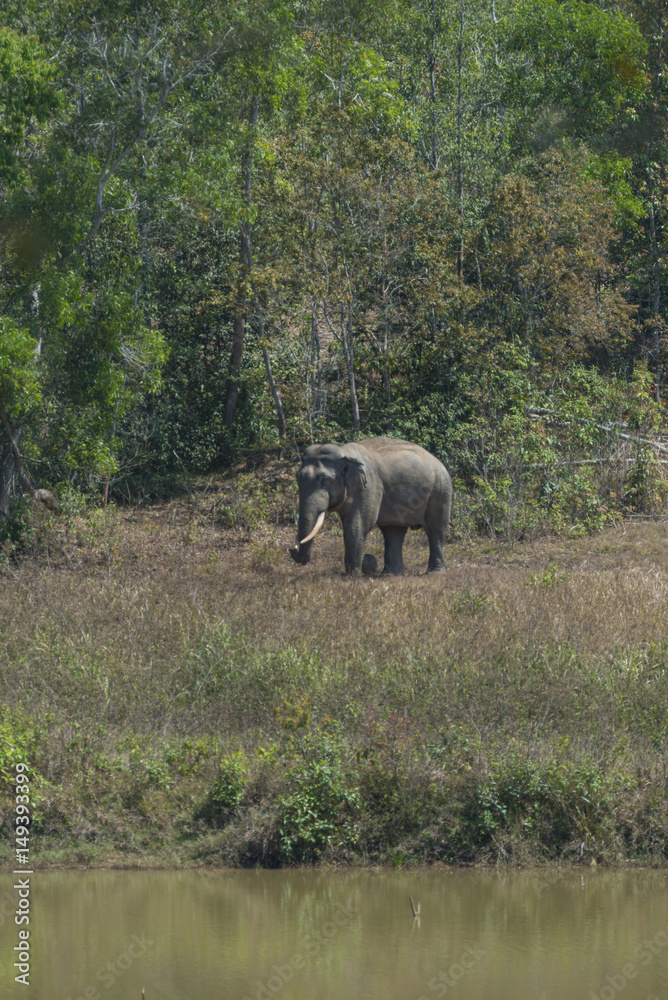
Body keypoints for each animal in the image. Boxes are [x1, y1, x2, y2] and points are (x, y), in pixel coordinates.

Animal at [289, 437, 452, 575]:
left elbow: (357, 525)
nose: (292, 549)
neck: (345, 453)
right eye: (298, 478)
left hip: (440, 491)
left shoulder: (370, 487)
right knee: (393, 531)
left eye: (324, 479)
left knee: (435, 529)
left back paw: (434, 573)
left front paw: (353, 575)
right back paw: (389, 575)